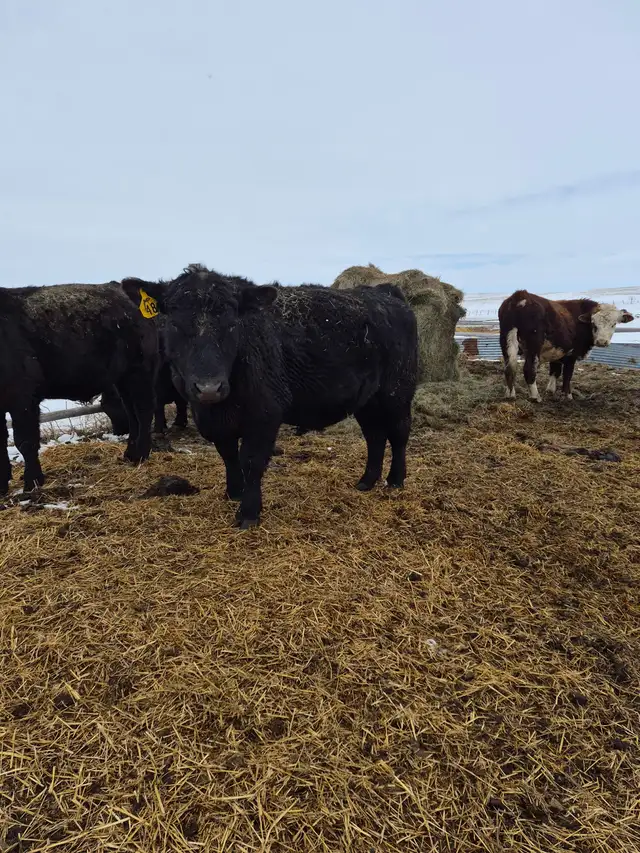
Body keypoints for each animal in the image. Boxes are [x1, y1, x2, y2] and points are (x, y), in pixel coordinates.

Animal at [0, 282, 158, 494]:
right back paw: (130, 453)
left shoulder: (23, 397)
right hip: (123, 379)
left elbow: (25, 442)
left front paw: (32, 483)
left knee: (144, 411)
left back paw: (141, 454)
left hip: (140, 371)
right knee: (132, 414)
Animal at [122, 265, 418, 529]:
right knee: (375, 436)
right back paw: (366, 481)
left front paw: (248, 513)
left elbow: (251, 460)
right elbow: (228, 455)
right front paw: (234, 493)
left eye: (232, 324)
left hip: (397, 391)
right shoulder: (215, 422)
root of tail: (385, 292)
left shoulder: (265, 414)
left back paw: (395, 480)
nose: (209, 387)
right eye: (173, 322)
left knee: (399, 433)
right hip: (368, 400)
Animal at [499, 290, 633, 401]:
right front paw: (568, 396)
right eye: (593, 323)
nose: (601, 342)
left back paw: (510, 395)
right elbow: (567, 375)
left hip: (506, 341)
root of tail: (520, 296)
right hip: (533, 346)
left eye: (613, 324)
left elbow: (555, 371)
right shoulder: (571, 355)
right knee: (529, 369)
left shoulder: (556, 352)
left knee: (509, 368)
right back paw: (535, 397)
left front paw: (550, 390)